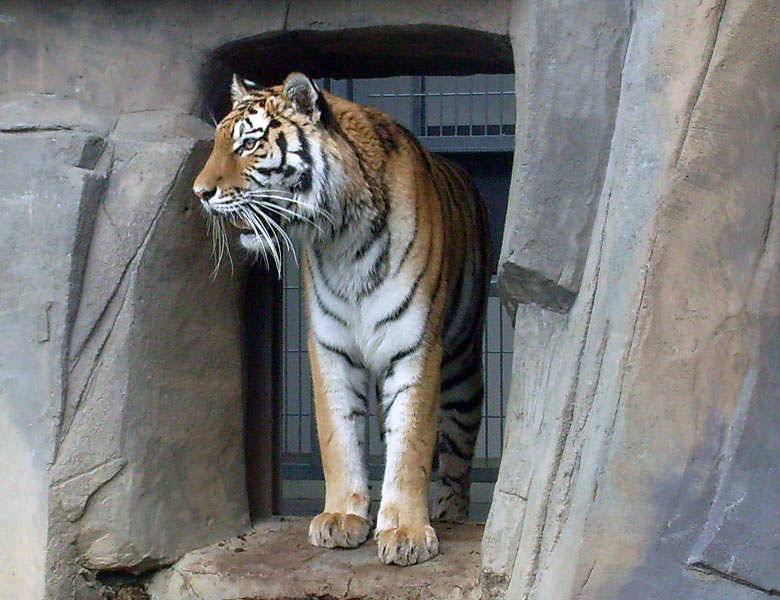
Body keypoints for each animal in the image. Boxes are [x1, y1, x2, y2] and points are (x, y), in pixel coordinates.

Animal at [193, 72, 490, 564]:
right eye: (217, 143)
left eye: (249, 144)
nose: (199, 193)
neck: (342, 237)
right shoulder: (330, 346)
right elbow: (339, 435)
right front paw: (342, 518)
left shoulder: (415, 345)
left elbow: (412, 441)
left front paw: (407, 531)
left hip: (462, 366)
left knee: (456, 455)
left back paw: (451, 516)